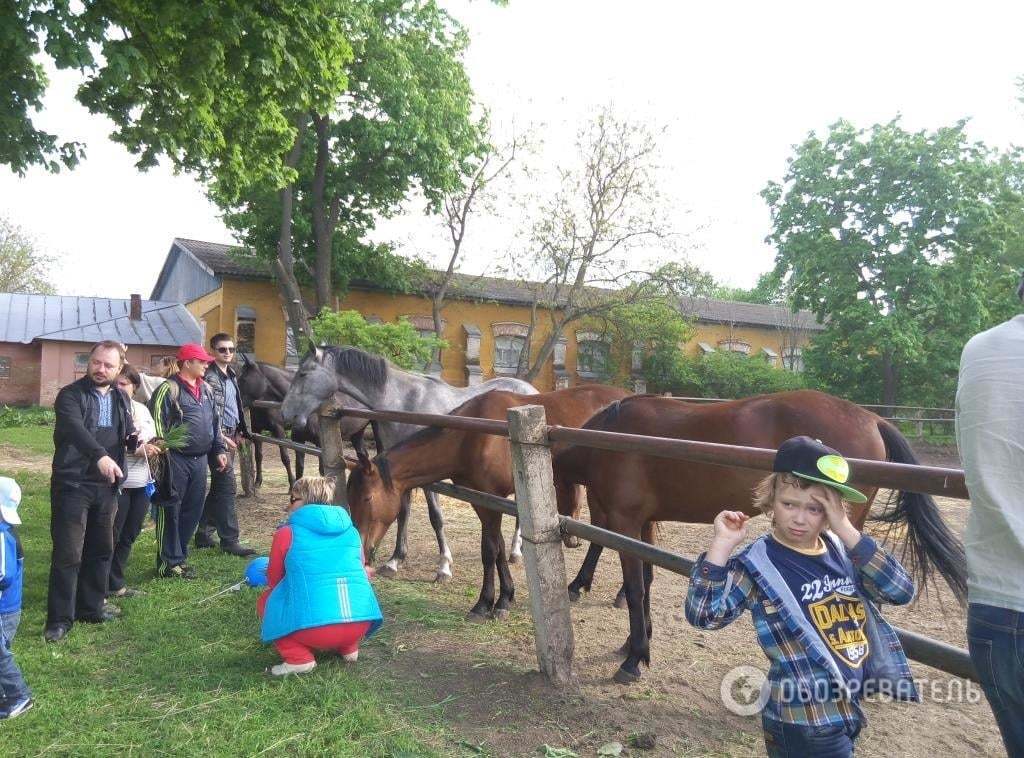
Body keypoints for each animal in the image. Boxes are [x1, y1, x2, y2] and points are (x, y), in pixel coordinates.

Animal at [280, 346, 536, 581]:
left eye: (303, 373)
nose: (286, 414)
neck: (404, 401)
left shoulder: (429, 475)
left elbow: (436, 517)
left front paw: (444, 566)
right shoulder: (398, 474)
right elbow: (402, 512)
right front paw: (395, 560)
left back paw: (515, 550)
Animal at [346, 385, 630, 622]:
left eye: (367, 498)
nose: (362, 550)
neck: (471, 436)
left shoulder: (493, 499)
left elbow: (493, 550)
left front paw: (497, 602)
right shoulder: (480, 500)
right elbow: (493, 548)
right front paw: (493, 600)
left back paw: (621, 595)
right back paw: (579, 586)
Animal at [552, 393, 966, 684]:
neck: (610, 437)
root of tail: (872, 418)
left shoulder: (623, 519)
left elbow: (636, 587)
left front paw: (634, 657)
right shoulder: (644, 523)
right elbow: (647, 580)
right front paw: (636, 643)